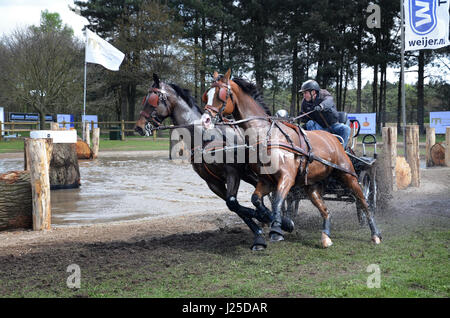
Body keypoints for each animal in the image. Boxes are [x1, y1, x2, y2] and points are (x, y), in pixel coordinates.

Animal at [135, 73, 294, 250]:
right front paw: (260, 231)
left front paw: (271, 220)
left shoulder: (232, 172)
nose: (139, 127)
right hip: (249, 174)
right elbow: (234, 207)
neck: (205, 137)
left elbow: (233, 202)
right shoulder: (213, 183)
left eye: (153, 100)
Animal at [202, 70, 382, 248]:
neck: (266, 134)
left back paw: (375, 234)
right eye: (207, 95)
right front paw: (274, 220)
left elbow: (277, 201)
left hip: (349, 176)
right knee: (325, 210)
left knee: (364, 202)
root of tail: (333, 138)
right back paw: (325, 236)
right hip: (312, 186)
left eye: (221, 94)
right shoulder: (266, 181)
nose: (205, 120)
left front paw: (276, 229)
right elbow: (257, 200)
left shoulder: (286, 177)